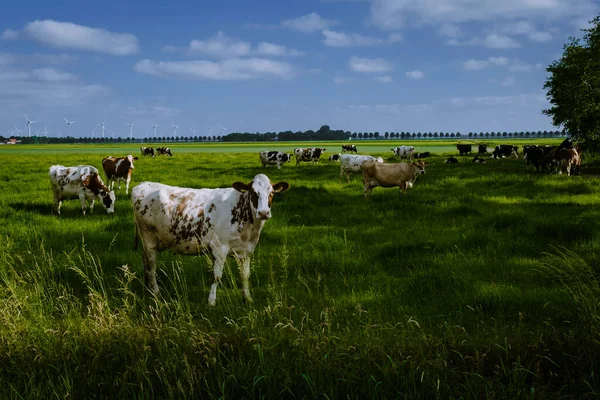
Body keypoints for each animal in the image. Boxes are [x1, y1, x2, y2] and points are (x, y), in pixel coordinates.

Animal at [132, 173, 290, 306]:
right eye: (253, 192)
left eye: (272, 193)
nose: (263, 213)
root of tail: (142, 184)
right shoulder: (219, 248)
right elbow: (217, 276)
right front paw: (212, 301)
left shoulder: (246, 251)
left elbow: (245, 276)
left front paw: (248, 298)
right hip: (149, 238)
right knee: (151, 267)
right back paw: (156, 293)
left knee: (145, 263)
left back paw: (147, 290)